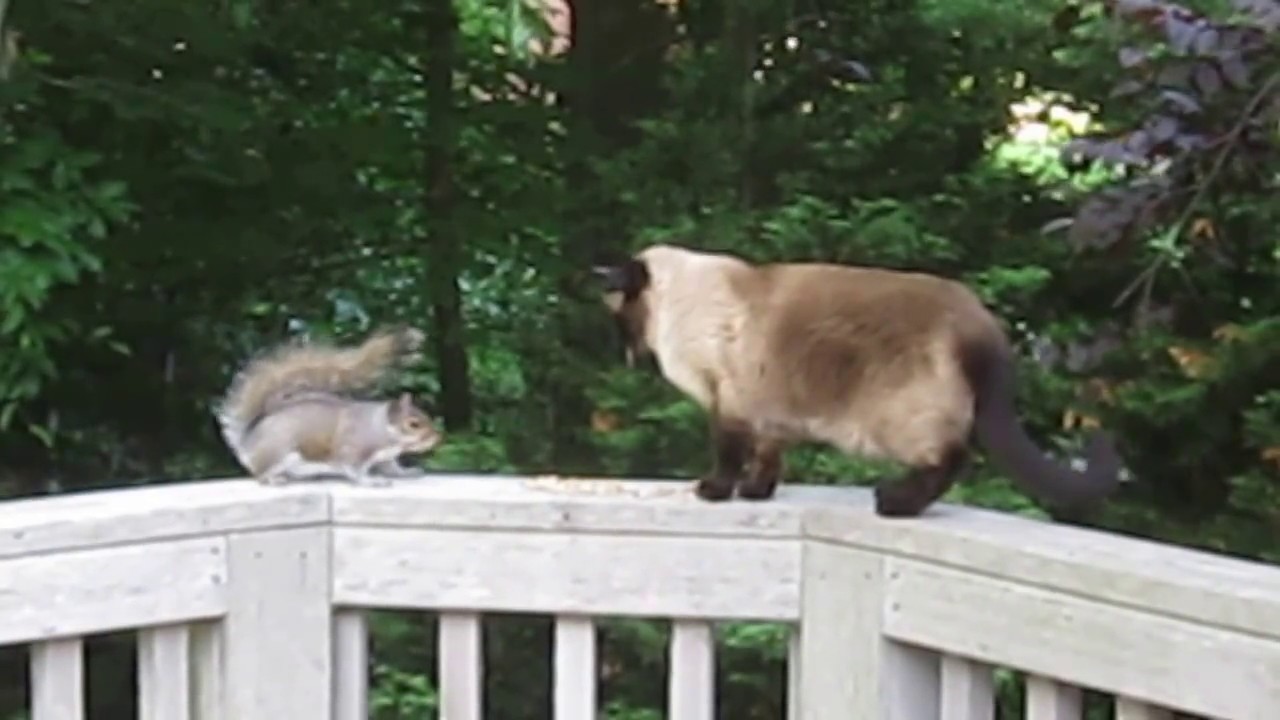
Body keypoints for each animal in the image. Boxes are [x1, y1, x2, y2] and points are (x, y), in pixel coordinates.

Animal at [215, 325, 443, 487]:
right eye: (413, 424)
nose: (436, 437)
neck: (380, 429)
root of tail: (247, 443)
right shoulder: (352, 450)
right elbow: (354, 470)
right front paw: (371, 481)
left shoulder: (385, 458)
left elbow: (392, 468)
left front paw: (405, 472)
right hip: (277, 453)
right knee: (260, 474)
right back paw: (273, 479)